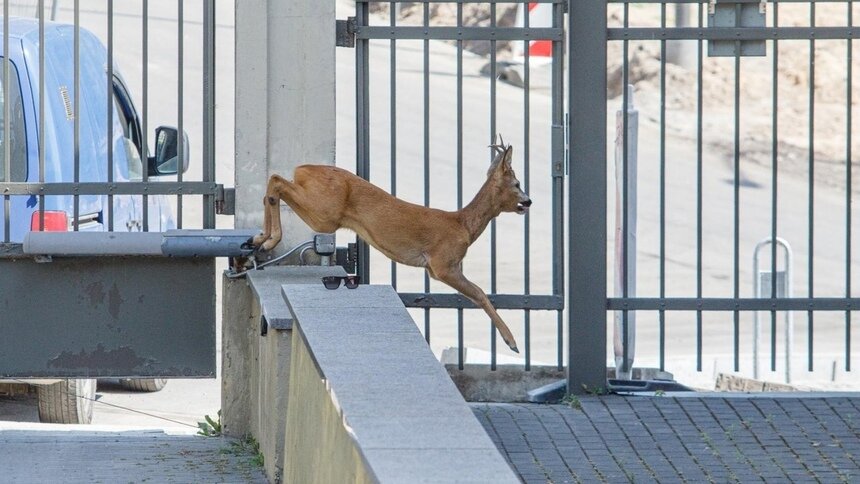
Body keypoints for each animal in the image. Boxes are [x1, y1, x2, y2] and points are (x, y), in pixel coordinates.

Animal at [250, 138, 532, 354]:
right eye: (517, 184)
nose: (528, 201)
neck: (462, 225)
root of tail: (302, 169)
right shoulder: (442, 264)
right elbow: (480, 294)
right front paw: (512, 342)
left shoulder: (441, 267)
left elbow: (477, 294)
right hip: (324, 213)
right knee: (276, 180)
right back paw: (269, 240)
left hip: (322, 211)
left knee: (273, 185)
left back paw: (259, 240)